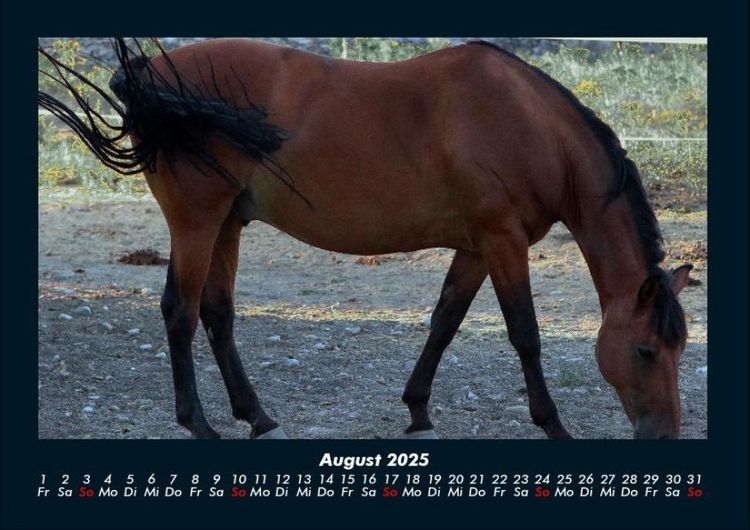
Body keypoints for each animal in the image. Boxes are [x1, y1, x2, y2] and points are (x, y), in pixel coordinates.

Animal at [38, 38, 693, 440]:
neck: (527, 124)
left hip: (227, 223)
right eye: (645, 351)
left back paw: (257, 416)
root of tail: (150, 75)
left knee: (217, 314)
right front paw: (551, 422)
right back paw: (200, 423)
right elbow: (525, 336)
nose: (664, 435)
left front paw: (418, 408)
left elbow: (445, 321)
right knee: (181, 310)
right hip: (197, 222)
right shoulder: (502, 241)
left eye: (679, 349)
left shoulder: (476, 247)